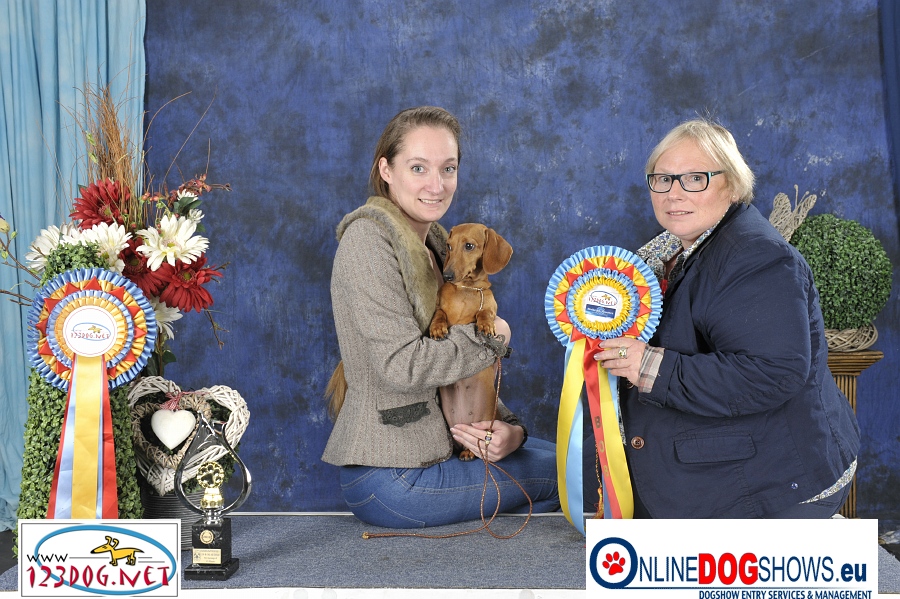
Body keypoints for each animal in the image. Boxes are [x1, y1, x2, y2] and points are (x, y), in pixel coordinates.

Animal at [429, 223, 513, 460]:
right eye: (449, 245)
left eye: (469, 246)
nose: (447, 275)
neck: (466, 289)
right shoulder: (439, 307)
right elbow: (439, 314)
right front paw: (437, 327)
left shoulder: (490, 305)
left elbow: (485, 312)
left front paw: (485, 324)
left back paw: (469, 452)